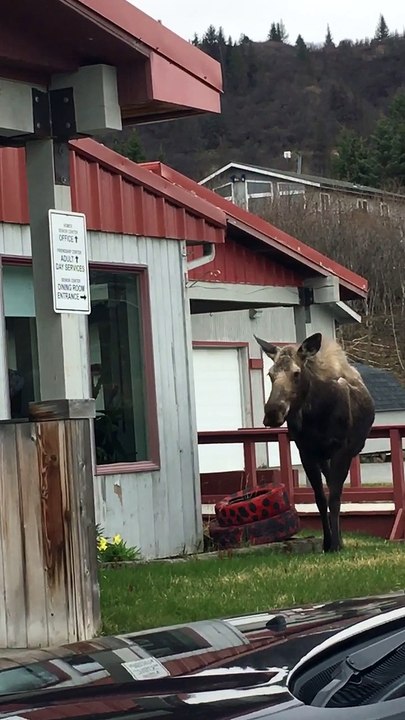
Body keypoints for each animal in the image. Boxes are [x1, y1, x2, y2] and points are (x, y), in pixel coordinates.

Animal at [255, 332, 375, 552]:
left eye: (296, 373)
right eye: (270, 374)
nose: (273, 413)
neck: (317, 415)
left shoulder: (341, 450)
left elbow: (334, 498)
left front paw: (335, 544)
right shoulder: (307, 452)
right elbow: (320, 498)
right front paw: (328, 542)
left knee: (336, 492)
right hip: (323, 458)